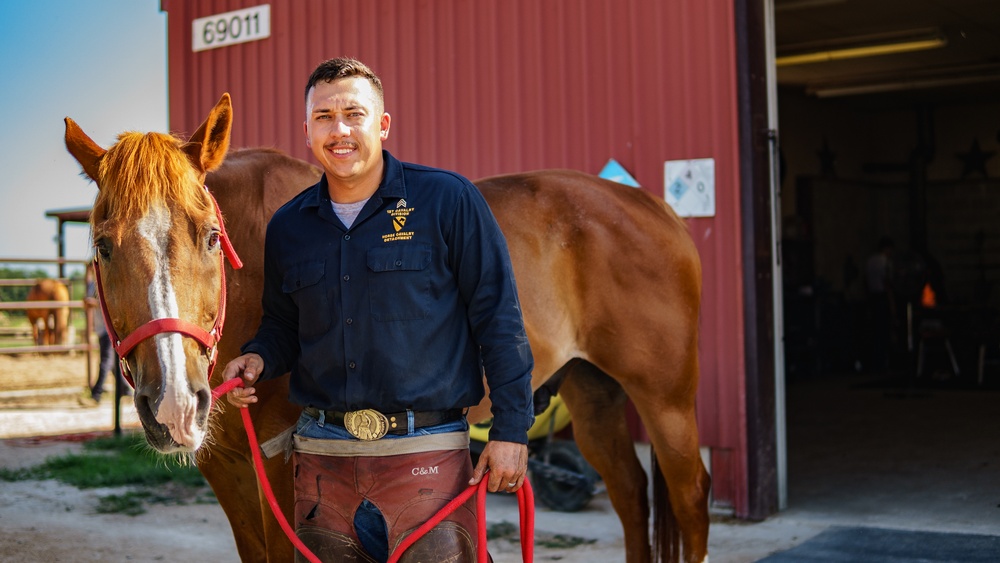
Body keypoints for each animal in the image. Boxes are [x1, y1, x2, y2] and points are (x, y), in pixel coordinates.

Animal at [64, 93, 712, 563]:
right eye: (102, 245)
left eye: (210, 236)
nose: (173, 402)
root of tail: (649, 205)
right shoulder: (228, 471)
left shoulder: (281, 475)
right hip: (593, 393)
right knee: (630, 495)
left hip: (666, 402)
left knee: (690, 498)